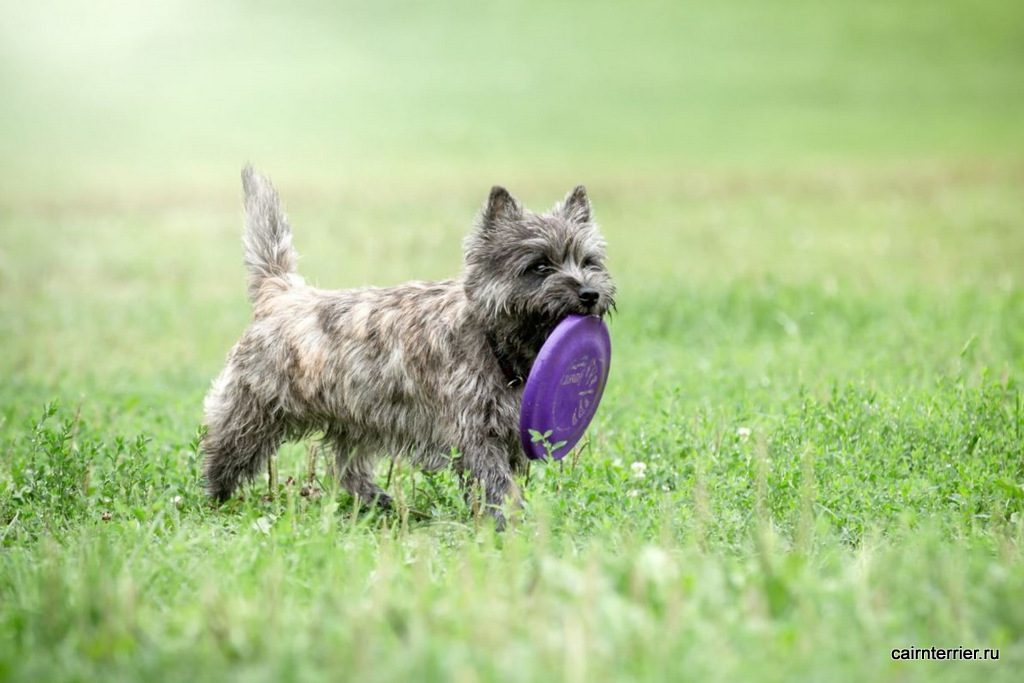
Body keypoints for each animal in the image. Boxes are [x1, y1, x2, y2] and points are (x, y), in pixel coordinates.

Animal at [200, 166, 614, 528]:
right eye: (540, 266)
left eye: (589, 262)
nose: (589, 293)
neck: (494, 343)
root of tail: (282, 292)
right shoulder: (475, 433)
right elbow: (494, 480)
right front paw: (506, 523)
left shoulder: (508, 430)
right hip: (253, 409)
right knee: (226, 448)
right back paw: (214, 496)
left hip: (358, 419)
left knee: (346, 468)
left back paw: (379, 502)